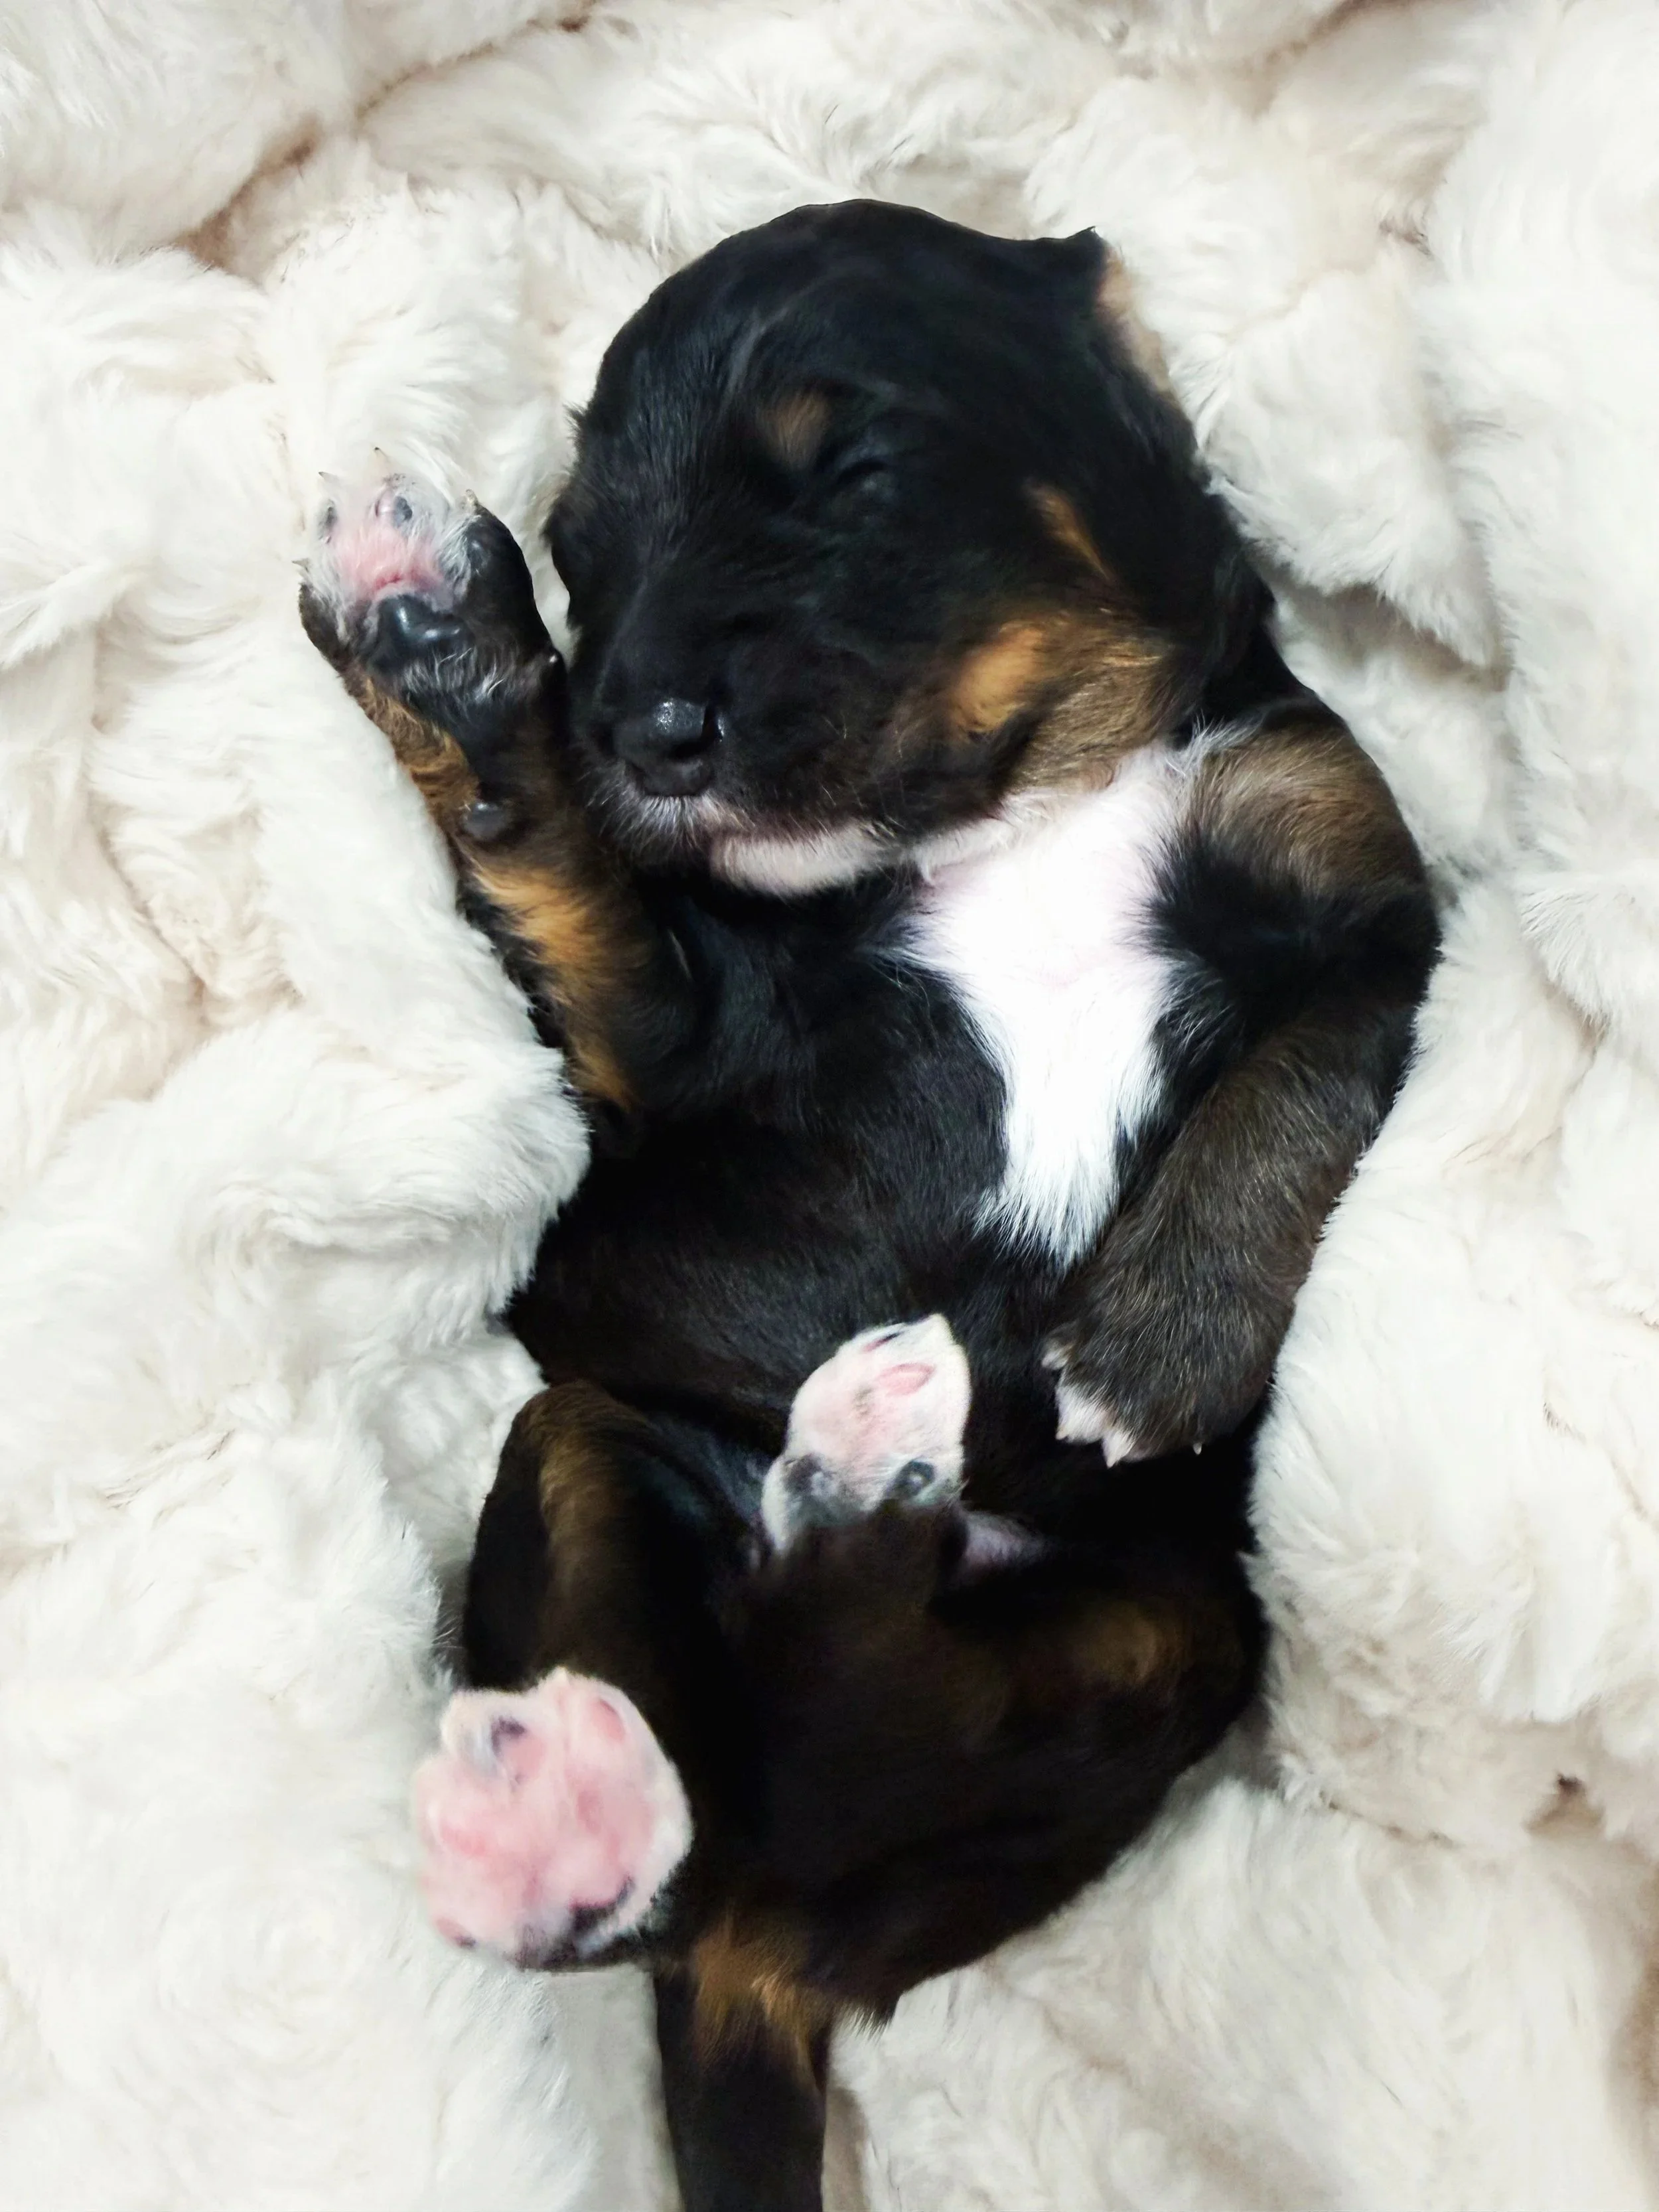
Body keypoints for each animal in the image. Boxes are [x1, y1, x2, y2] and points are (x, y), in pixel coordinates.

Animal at [299, 202, 1437, 2212]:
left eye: (855, 476)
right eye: (585, 555)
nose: (646, 722)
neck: (1014, 811)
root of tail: (781, 1958)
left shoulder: (1363, 886)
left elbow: (1310, 1068)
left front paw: (1154, 1347)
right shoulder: (667, 1044)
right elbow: (562, 866)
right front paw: (443, 648)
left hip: (1153, 1643)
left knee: (841, 1722)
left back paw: (843, 1507)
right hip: (593, 1448)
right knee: (694, 1828)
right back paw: (588, 1794)